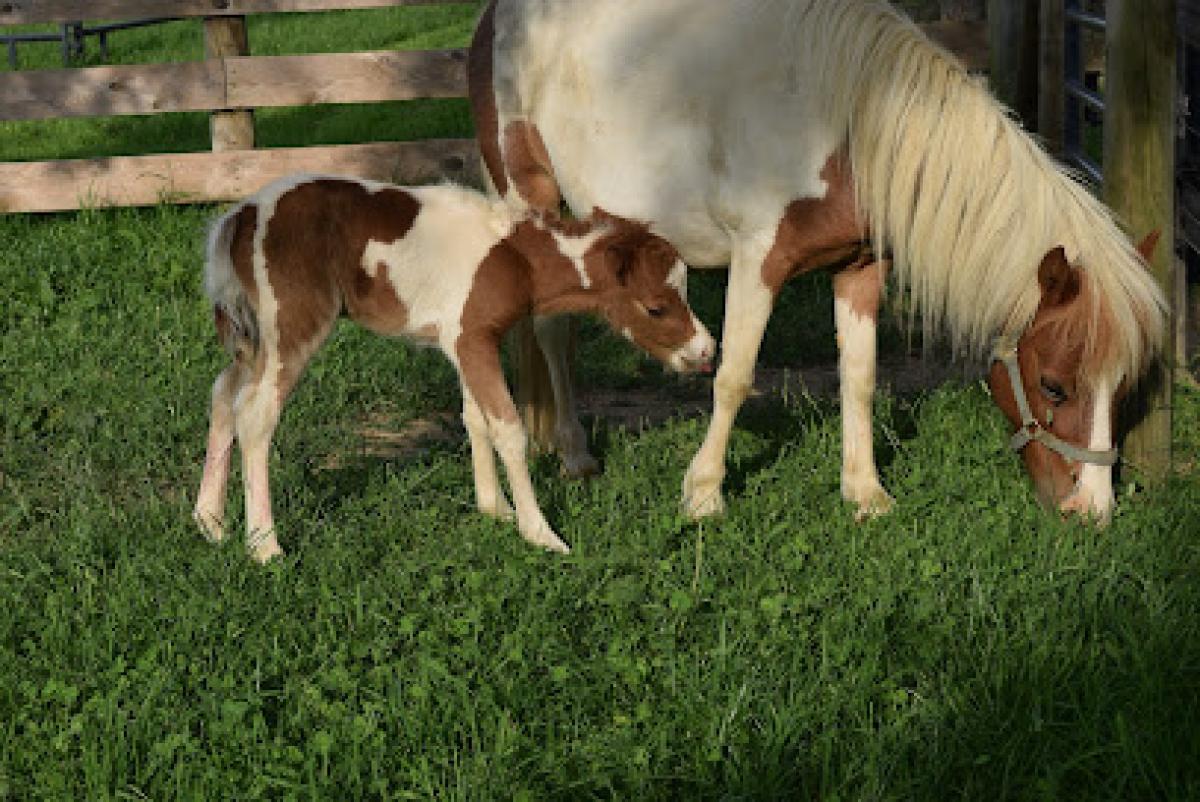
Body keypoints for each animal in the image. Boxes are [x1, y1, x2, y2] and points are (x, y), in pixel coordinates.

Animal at [193, 175, 715, 561]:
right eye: (655, 308)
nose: (706, 352)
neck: (516, 260)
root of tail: (240, 217)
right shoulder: (473, 340)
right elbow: (507, 428)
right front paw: (540, 533)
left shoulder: (464, 343)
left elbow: (475, 419)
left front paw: (494, 509)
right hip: (292, 326)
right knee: (256, 415)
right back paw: (264, 546)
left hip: (254, 337)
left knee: (223, 394)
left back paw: (211, 522)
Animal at [467, 0, 1167, 522]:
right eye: (1053, 385)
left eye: (1124, 385)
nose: (1091, 510)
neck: (850, 128)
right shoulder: (758, 260)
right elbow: (734, 376)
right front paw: (704, 494)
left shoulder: (860, 269)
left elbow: (858, 378)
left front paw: (865, 493)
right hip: (530, 197)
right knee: (551, 328)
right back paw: (575, 456)